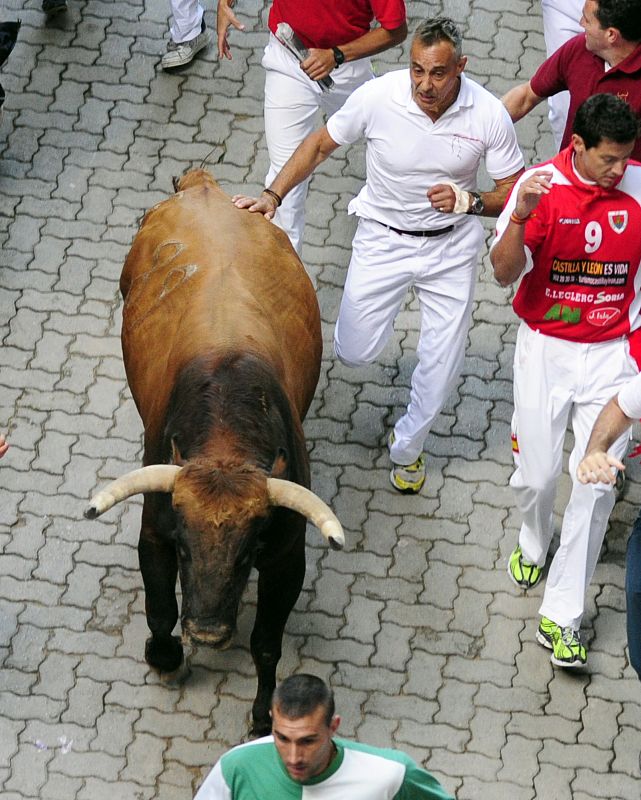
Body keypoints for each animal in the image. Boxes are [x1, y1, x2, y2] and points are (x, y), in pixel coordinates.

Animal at [89, 170, 344, 736]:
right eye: (185, 548)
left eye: (247, 553)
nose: (205, 631)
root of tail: (203, 186)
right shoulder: (155, 530)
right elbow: (161, 609)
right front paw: (166, 658)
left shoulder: (286, 559)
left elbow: (266, 645)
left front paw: (264, 714)